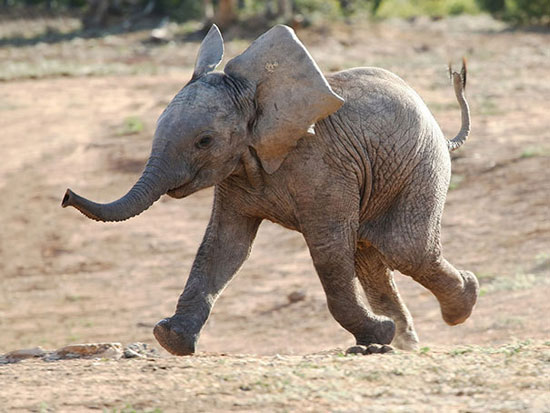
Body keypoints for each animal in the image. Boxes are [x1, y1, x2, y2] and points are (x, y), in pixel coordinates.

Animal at [63, 24, 478, 354]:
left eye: (204, 141)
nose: (66, 196)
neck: (255, 96)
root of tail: (442, 132)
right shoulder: (236, 173)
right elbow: (224, 247)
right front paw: (171, 340)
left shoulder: (323, 167)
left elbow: (328, 250)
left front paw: (379, 334)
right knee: (372, 256)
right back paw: (403, 342)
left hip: (421, 166)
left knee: (404, 248)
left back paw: (460, 304)